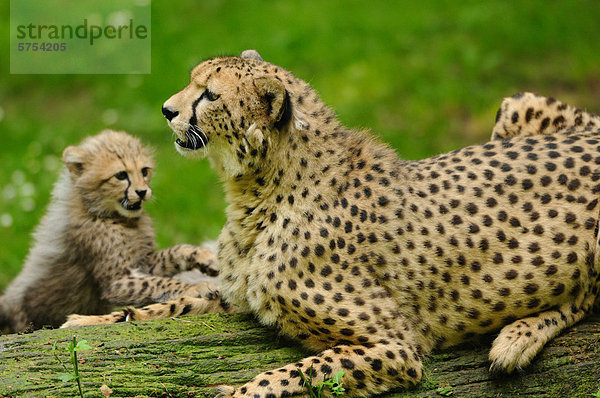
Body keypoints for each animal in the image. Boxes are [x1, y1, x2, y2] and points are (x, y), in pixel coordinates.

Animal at [162, 51, 600, 396]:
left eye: (210, 95)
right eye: (192, 82)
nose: (167, 110)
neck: (260, 192)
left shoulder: (397, 347)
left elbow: (293, 374)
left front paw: (241, 390)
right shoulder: (238, 296)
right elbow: (187, 299)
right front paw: (148, 311)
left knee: (584, 300)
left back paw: (515, 340)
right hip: (517, 104)